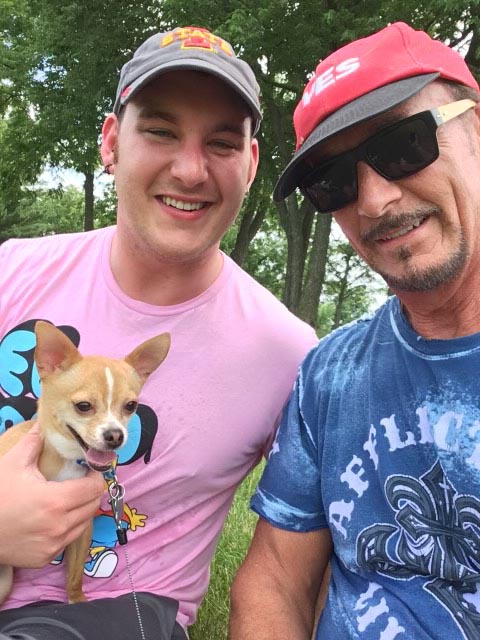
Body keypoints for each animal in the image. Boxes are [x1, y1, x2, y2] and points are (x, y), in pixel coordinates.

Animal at [0, 320, 171, 604]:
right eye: (83, 406)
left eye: (131, 406)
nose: (115, 435)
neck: (66, 459)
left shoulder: (82, 531)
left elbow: (75, 573)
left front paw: (76, 598)